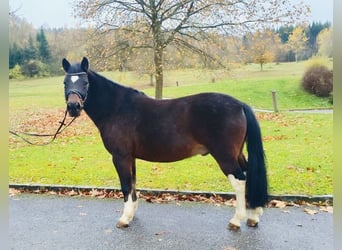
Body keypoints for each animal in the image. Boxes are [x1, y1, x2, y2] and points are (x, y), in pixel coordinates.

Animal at [62, 57, 268, 229]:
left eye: (85, 82)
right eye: (65, 83)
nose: (73, 107)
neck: (116, 108)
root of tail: (240, 104)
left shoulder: (120, 157)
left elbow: (126, 185)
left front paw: (124, 219)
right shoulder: (131, 157)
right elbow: (133, 183)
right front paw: (132, 214)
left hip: (225, 156)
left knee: (240, 181)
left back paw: (236, 220)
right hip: (237, 153)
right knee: (249, 175)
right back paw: (253, 215)